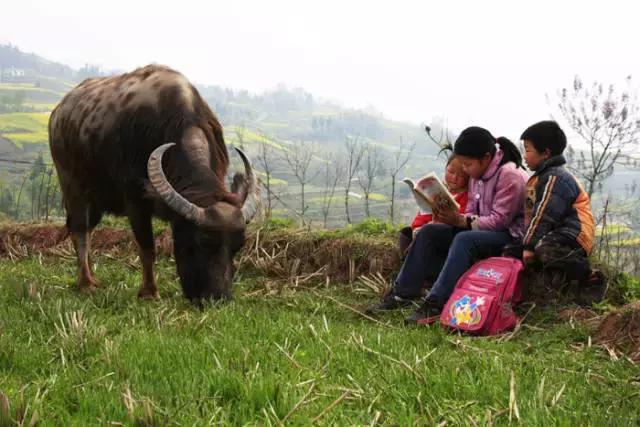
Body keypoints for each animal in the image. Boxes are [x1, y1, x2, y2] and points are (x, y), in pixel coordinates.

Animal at [48, 65, 258, 302]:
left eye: (238, 246)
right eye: (201, 242)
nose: (218, 298)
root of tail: (59, 113)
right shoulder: (135, 202)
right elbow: (147, 248)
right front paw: (149, 292)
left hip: (97, 199)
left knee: (88, 230)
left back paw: (92, 277)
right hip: (72, 187)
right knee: (79, 230)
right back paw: (85, 283)